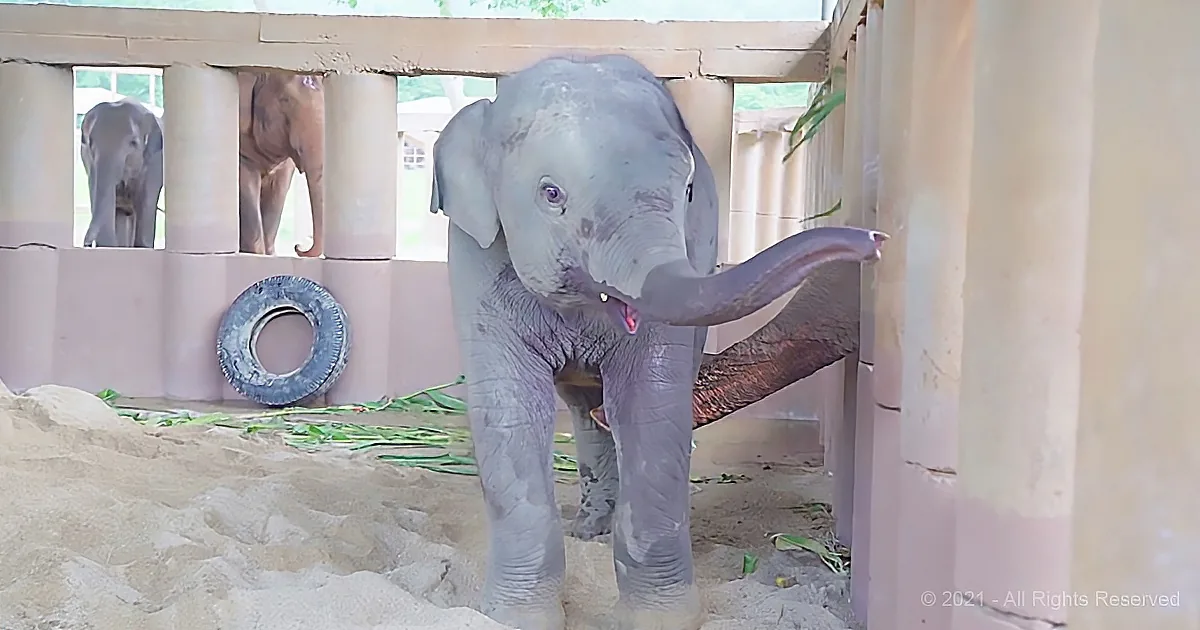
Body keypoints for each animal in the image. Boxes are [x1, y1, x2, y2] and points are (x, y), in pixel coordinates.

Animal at [80, 99, 164, 248]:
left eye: (133, 143)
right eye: (90, 143)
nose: (87, 244)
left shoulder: (154, 164)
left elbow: (146, 205)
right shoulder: (89, 164)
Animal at [430, 53, 886, 630]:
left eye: (687, 193)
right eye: (551, 194)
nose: (874, 240)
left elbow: (650, 403)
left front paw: (660, 618)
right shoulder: (477, 257)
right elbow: (507, 409)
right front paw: (513, 618)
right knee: (581, 410)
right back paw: (589, 530)